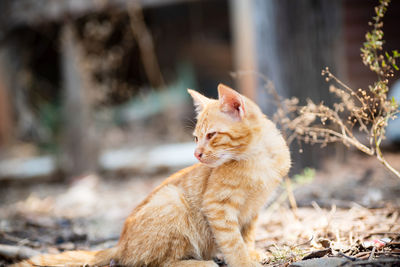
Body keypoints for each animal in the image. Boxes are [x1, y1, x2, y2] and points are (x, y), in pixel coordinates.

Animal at [13, 85, 290, 267]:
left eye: (211, 136)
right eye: (196, 138)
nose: (197, 154)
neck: (258, 159)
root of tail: (120, 244)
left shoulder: (253, 210)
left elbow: (246, 235)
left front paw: (250, 252)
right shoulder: (217, 207)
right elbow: (232, 240)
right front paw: (243, 261)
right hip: (171, 200)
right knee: (157, 263)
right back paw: (200, 263)